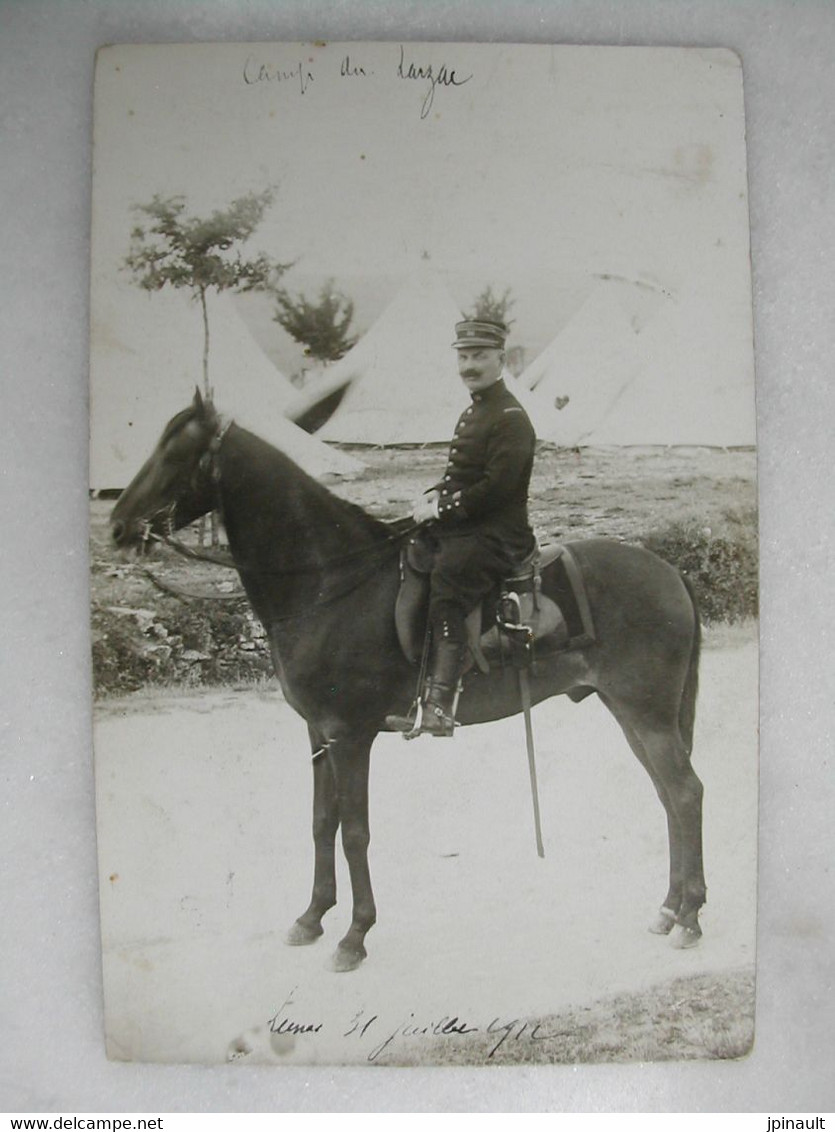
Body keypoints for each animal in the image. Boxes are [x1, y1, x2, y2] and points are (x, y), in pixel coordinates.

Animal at [109, 391, 701, 973]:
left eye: (175, 454)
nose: (117, 525)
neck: (330, 582)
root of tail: (669, 572)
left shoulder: (351, 736)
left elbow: (355, 832)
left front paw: (355, 934)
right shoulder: (319, 734)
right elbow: (322, 822)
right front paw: (312, 917)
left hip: (646, 714)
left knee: (685, 793)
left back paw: (690, 918)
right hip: (630, 714)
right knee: (668, 796)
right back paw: (670, 908)